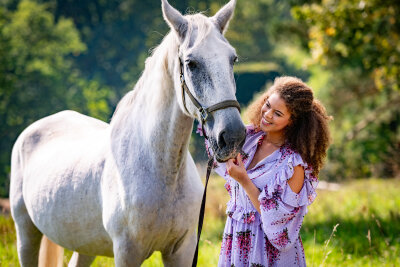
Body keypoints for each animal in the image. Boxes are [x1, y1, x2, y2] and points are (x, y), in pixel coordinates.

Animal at [9, 0, 245, 266]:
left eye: (232, 59)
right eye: (191, 63)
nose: (233, 136)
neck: (161, 170)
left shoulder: (181, 250)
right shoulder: (126, 252)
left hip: (84, 245)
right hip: (26, 234)